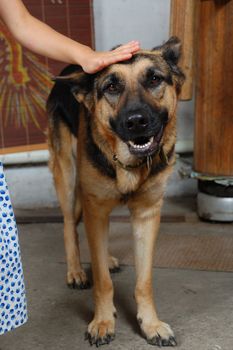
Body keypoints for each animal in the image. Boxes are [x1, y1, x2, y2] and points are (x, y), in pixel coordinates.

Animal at [46, 37, 185, 348]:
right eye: (111, 87)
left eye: (154, 79)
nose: (136, 121)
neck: (130, 166)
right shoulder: (95, 207)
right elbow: (102, 281)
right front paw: (102, 321)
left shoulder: (146, 216)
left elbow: (144, 281)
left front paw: (151, 324)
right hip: (68, 178)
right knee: (69, 224)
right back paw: (75, 270)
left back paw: (105, 259)